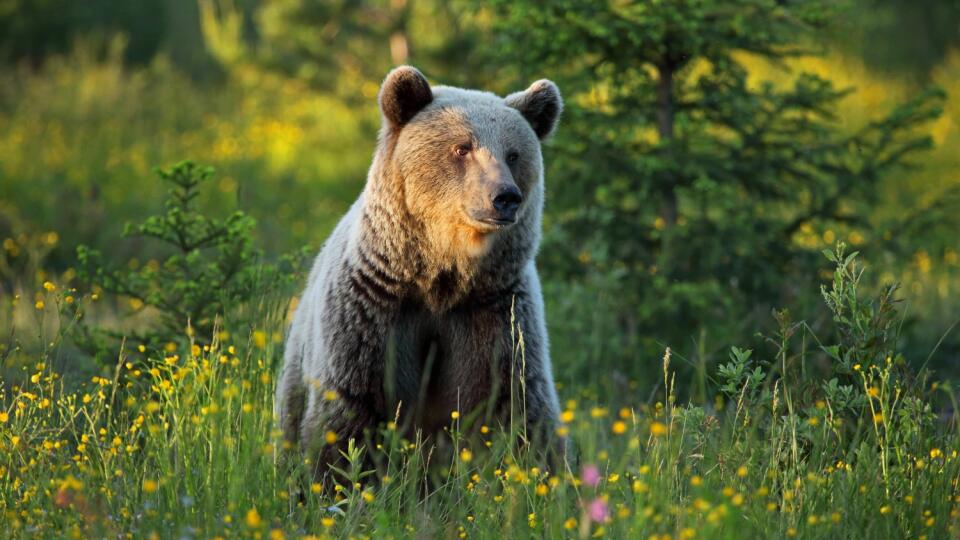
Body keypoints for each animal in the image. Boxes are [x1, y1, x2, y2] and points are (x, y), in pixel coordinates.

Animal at [274, 64, 564, 480]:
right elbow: (347, 411)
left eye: (513, 154)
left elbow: (514, 406)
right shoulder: (372, 313)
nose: (505, 197)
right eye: (462, 147)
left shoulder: (495, 315)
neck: (439, 278)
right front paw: (336, 479)